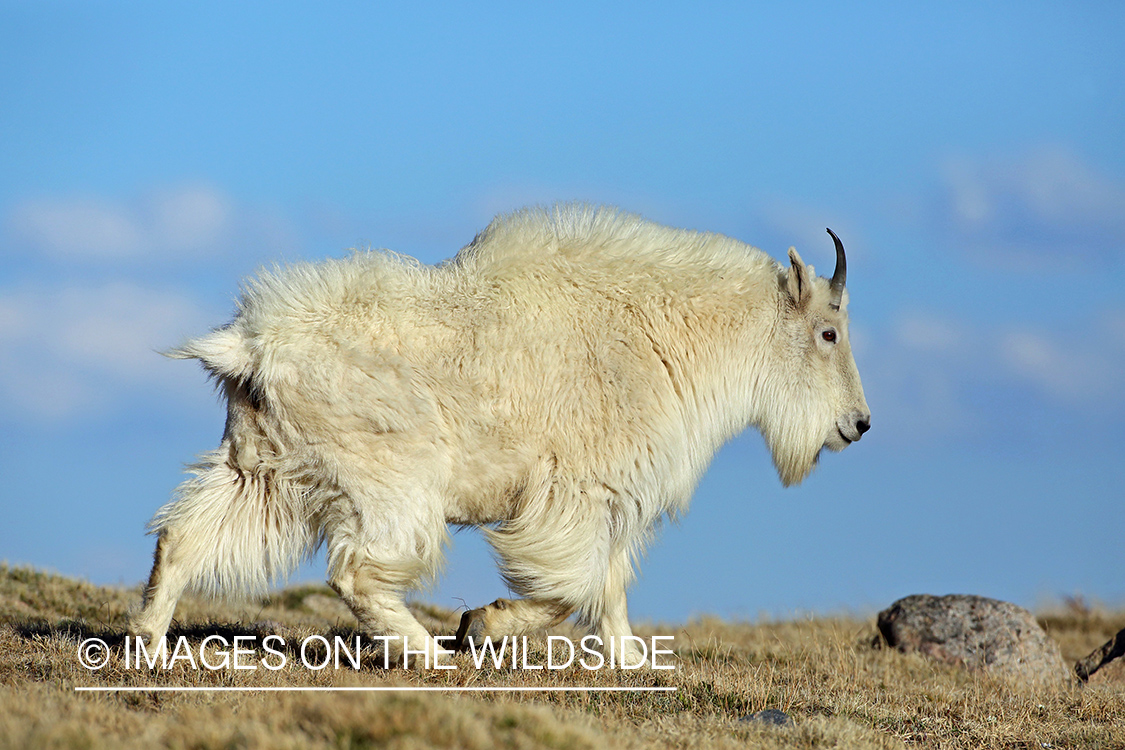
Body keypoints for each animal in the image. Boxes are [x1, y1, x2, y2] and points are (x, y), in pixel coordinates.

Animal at [129, 203, 868, 661]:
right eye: (828, 332)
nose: (857, 424)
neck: (666, 336)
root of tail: (250, 348)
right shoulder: (578, 492)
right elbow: (572, 587)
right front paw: (479, 625)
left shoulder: (614, 500)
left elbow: (609, 585)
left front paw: (632, 660)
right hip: (387, 480)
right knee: (357, 571)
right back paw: (429, 654)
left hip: (261, 467)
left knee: (183, 535)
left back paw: (149, 643)